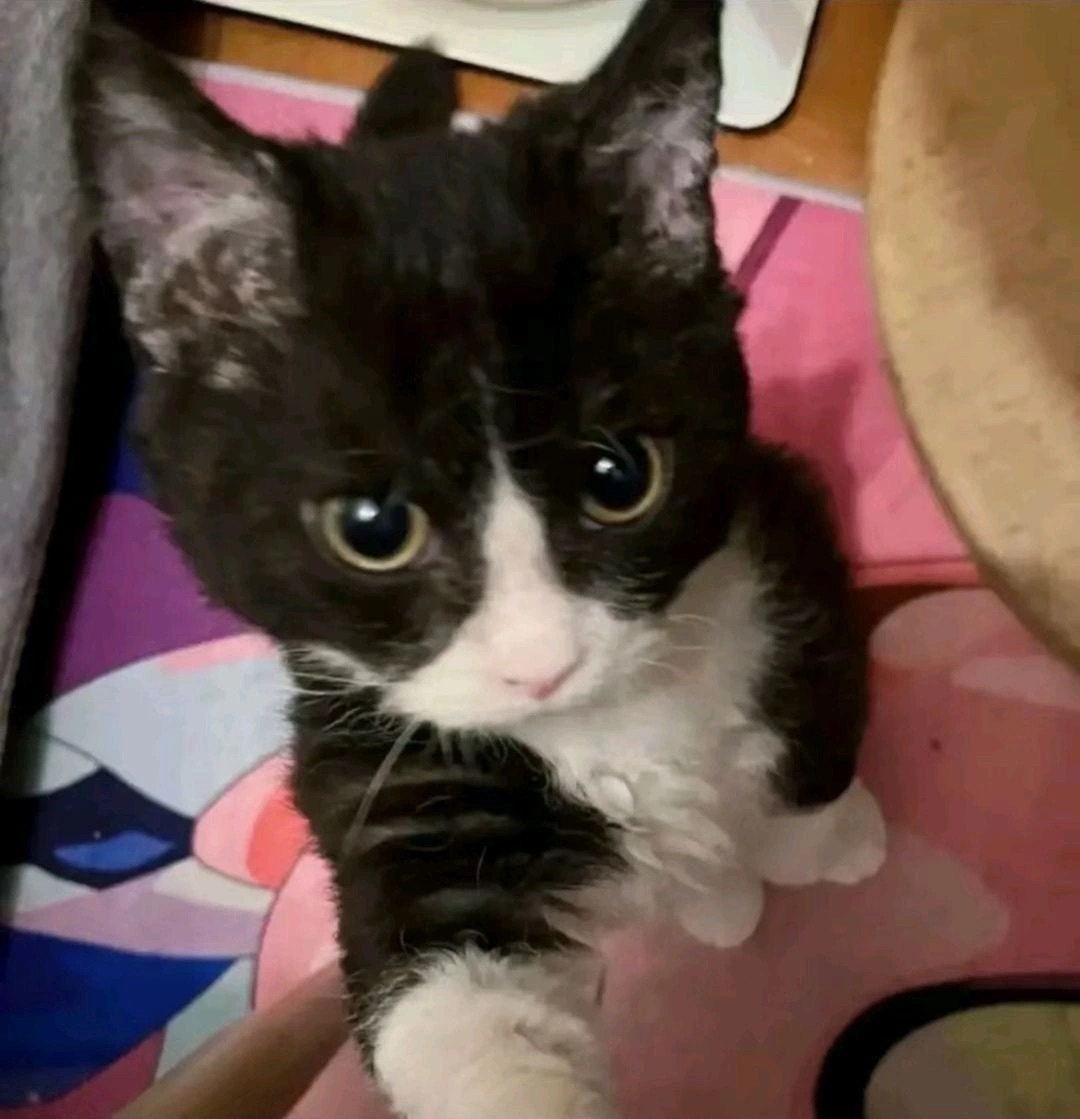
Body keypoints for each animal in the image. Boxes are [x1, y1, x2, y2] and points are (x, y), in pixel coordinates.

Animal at [77, 2, 886, 1116]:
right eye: (372, 530)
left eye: (620, 476)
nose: (544, 663)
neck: (608, 722)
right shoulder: (383, 773)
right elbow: (458, 1002)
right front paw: (741, 886)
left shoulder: (784, 533)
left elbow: (818, 717)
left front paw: (828, 841)